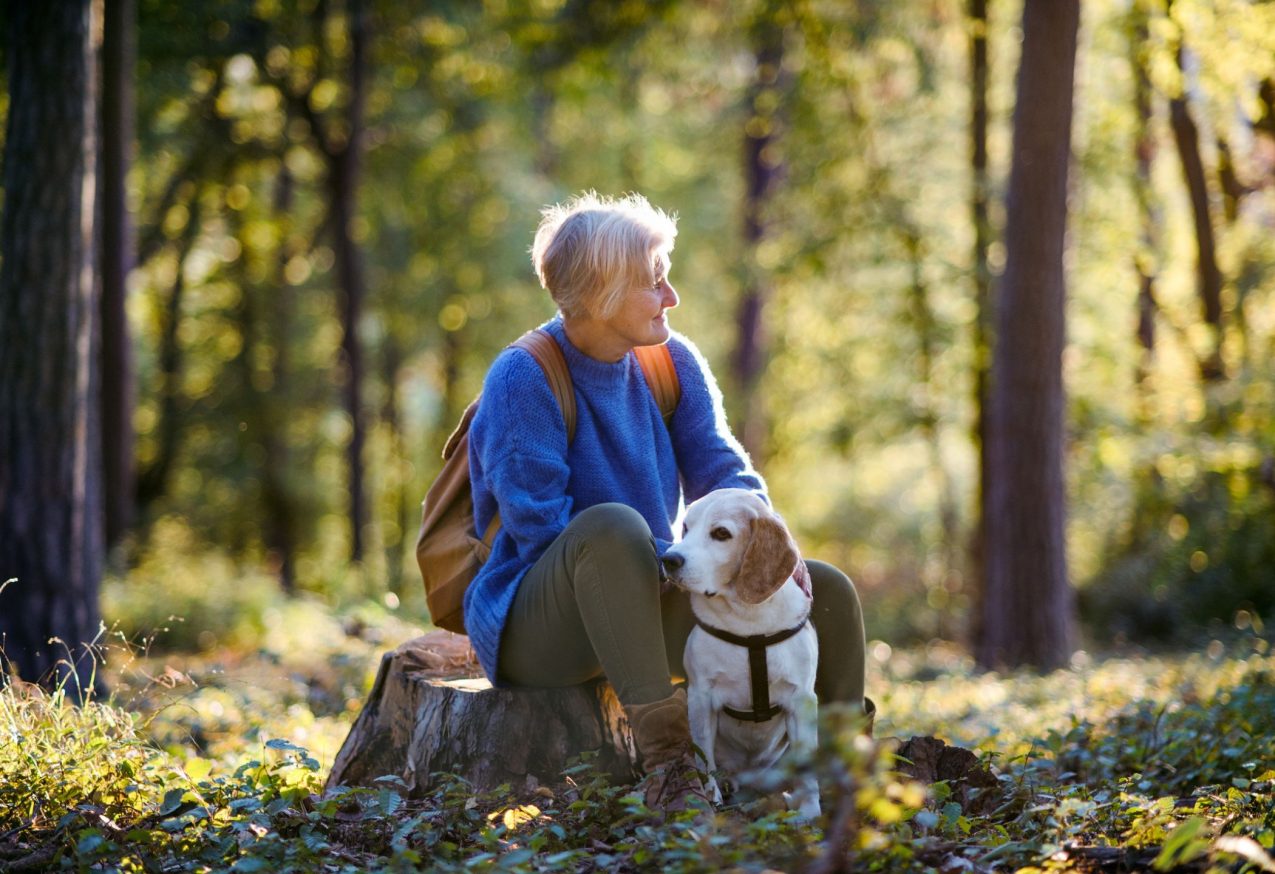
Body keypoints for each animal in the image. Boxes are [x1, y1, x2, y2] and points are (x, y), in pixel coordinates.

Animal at [663, 487, 821, 816]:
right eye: (686, 528)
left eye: (721, 533)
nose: (668, 559)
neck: (749, 623)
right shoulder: (700, 698)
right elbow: (704, 760)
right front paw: (711, 800)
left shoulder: (802, 700)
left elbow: (808, 769)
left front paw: (811, 812)